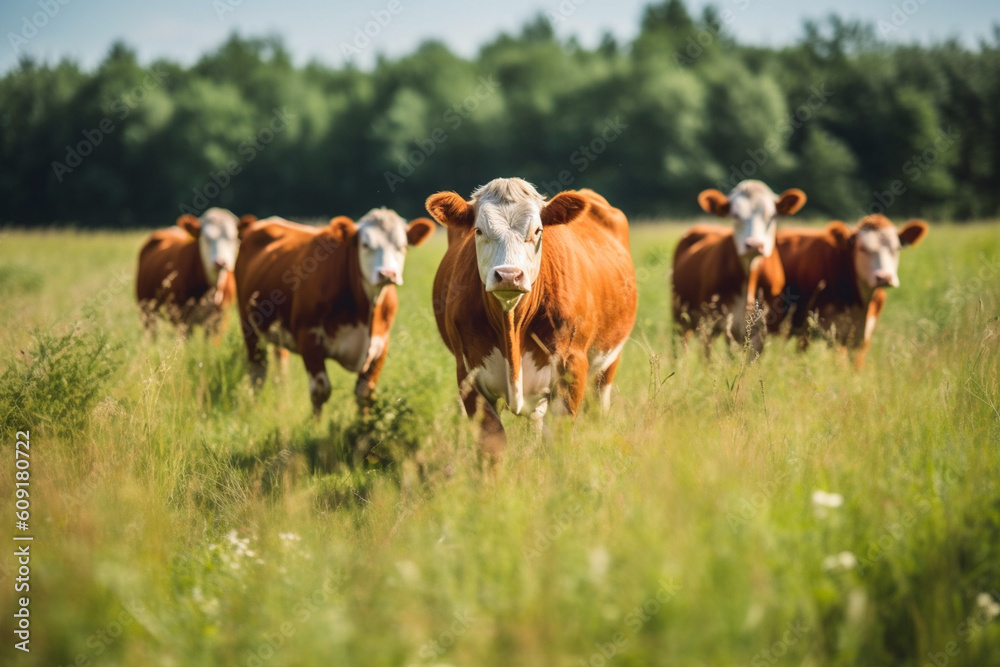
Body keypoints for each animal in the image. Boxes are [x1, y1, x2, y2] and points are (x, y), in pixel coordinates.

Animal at [136, 206, 245, 336]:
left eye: (233, 239)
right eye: (206, 239)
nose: (220, 263)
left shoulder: (220, 319)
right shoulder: (182, 317)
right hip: (147, 309)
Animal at [238, 209, 438, 418]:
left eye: (403, 246)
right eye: (365, 245)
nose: (387, 274)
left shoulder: (381, 343)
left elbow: (364, 394)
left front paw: (363, 426)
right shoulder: (308, 336)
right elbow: (320, 391)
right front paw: (314, 425)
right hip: (249, 327)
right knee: (257, 373)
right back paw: (253, 408)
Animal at [426, 180, 636, 456]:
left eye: (537, 230)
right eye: (479, 231)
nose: (508, 275)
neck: (512, 325)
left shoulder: (572, 365)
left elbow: (557, 439)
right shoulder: (468, 375)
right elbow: (492, 443)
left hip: (608, 362)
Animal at [672, 177, 804, 354]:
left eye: (771, 215)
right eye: (735, 215)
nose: (754, 244)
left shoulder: (759, 329)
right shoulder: (711, 323)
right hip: (680, 318)